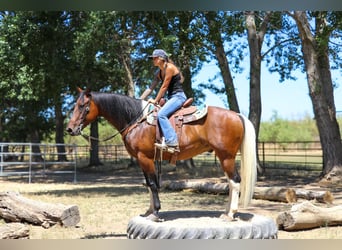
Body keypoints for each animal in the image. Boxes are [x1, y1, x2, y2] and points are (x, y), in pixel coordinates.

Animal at [66, 87, 256, 221]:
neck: (137, 120)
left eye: (83, 106)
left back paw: (230, 214)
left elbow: (152, 184)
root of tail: (236, 115)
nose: (70, 129)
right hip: (224, 157)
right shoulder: (143, 159)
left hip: (226, 156)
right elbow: (149, 184)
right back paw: (226, 212)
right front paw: (149, 211)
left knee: (235, 181)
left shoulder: (144, 157)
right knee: (231, 182)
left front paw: (156, 213)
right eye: (75, 105)